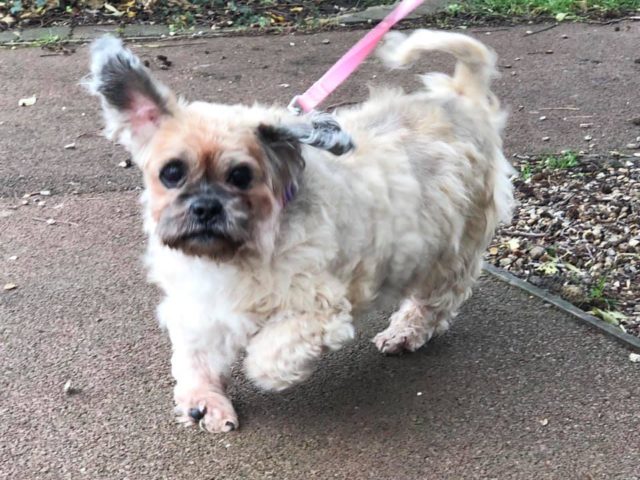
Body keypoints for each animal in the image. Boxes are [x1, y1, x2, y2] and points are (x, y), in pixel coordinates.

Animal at [85, 31, 516, 436]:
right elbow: (196, 356)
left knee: (436, 300)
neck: (239, 254)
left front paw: (264, 371)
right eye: (172, 172)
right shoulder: (199, 304)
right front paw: (205, 401)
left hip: (451, 247)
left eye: (241, 176)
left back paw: (404, 332)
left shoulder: (317, 311)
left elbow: (268, 355)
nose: (205, 207)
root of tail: (461, 98)